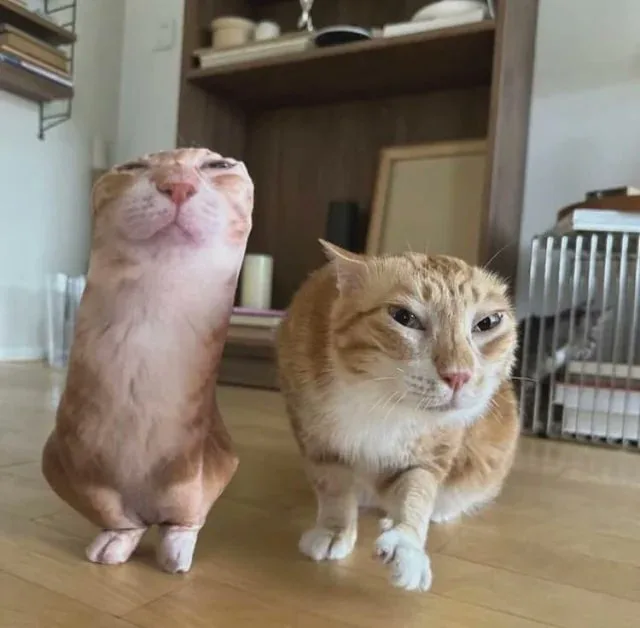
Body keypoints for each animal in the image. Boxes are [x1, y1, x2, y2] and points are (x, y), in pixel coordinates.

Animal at [41, 148, 254, 573]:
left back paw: (175, 553)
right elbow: (113, 513)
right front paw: (115, 541)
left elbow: (187, 516)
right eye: (132, 167)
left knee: (179, 519)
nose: (177, 185)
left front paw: (176, 548)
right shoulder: (80, 475)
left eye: (219, 166)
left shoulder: (195, 470)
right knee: (130, 522)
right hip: (57, 463)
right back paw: (114, 543)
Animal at [276, 241, 519, 592]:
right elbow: (333, 487)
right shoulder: (316, 439)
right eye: (404, 317)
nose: (459, 375)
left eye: (487, 323)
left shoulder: (429, 456)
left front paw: (406, 545)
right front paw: (334, 530)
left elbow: (416, 495)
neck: (381, 402)